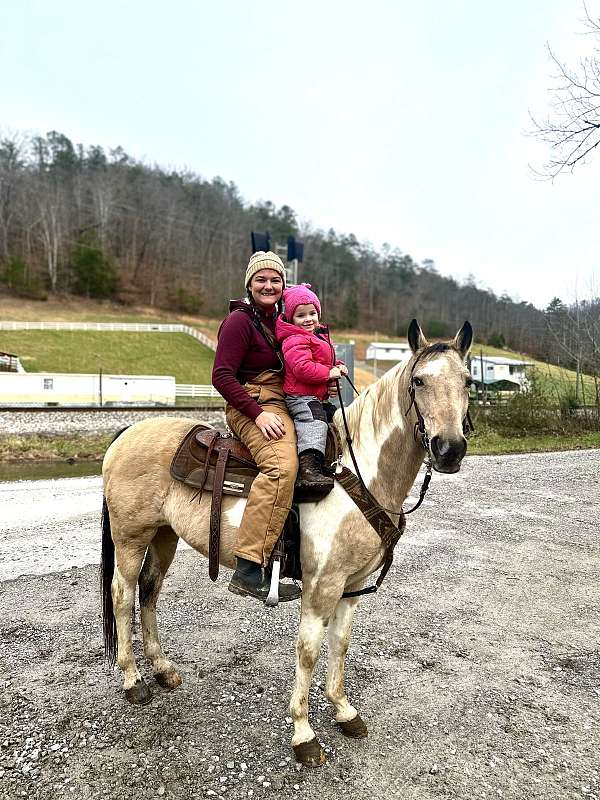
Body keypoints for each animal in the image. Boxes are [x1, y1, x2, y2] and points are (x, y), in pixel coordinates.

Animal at [98, 318, 474, 768]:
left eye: (467, 381)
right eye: (418, 381)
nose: (449, 449)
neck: (356, 473)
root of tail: (127, 432)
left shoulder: (350, 586)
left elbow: (340, 645)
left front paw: (343, 710)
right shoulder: (322, 585)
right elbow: (308, 650)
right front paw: (303, 733)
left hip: (163, 536)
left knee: (149, 592)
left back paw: (162, 669)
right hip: (131, 537)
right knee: (123, 595)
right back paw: (133, 680)